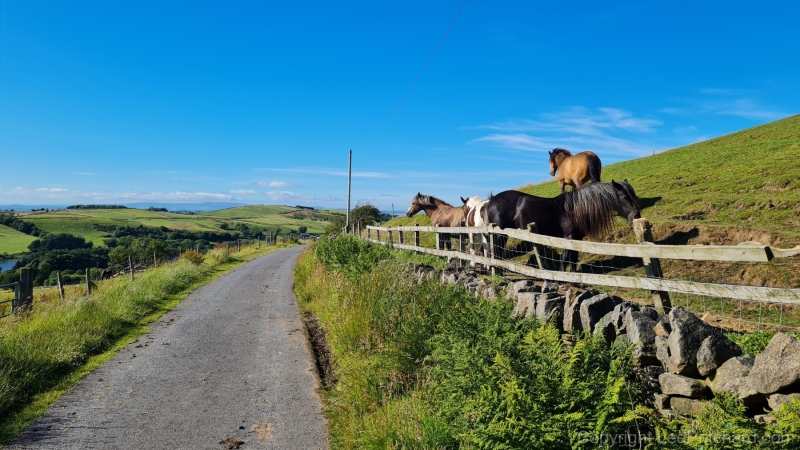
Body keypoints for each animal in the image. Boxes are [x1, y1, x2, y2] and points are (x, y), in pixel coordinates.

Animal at [482, 179, 644, 270]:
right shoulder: (569, 237)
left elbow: (573, 260)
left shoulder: (577, 239)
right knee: (495, 251)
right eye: (624, 196)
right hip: (499, 233)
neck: (576, 209)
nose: (636, 215)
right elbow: (565, 259)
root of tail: (491, 200)